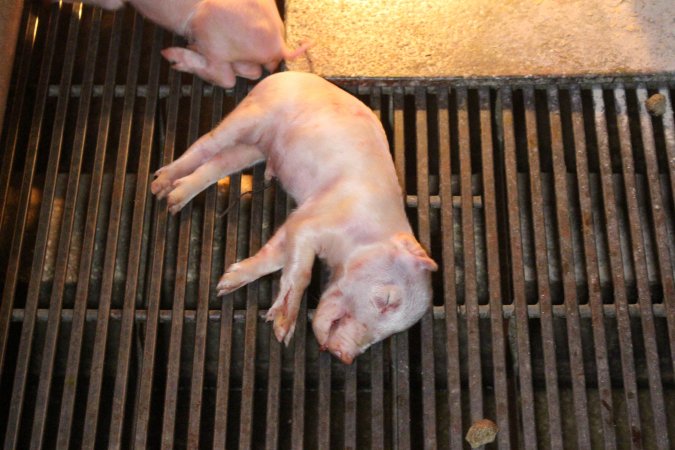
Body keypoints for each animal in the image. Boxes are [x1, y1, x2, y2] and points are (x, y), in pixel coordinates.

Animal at [150, 72, 438, 364]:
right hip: (252, 114)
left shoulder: (296, 223)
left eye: (390, 333)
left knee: (218, 163)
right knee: (206, 144)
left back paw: (174, 199)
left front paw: (225, 283)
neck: (361, 240)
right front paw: (281, 331)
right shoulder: (314, 220)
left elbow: (275, 256)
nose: (345, 356)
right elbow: (302, 272)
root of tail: (288, 74)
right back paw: (159, 185)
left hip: (255, 148)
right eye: (386, 300)